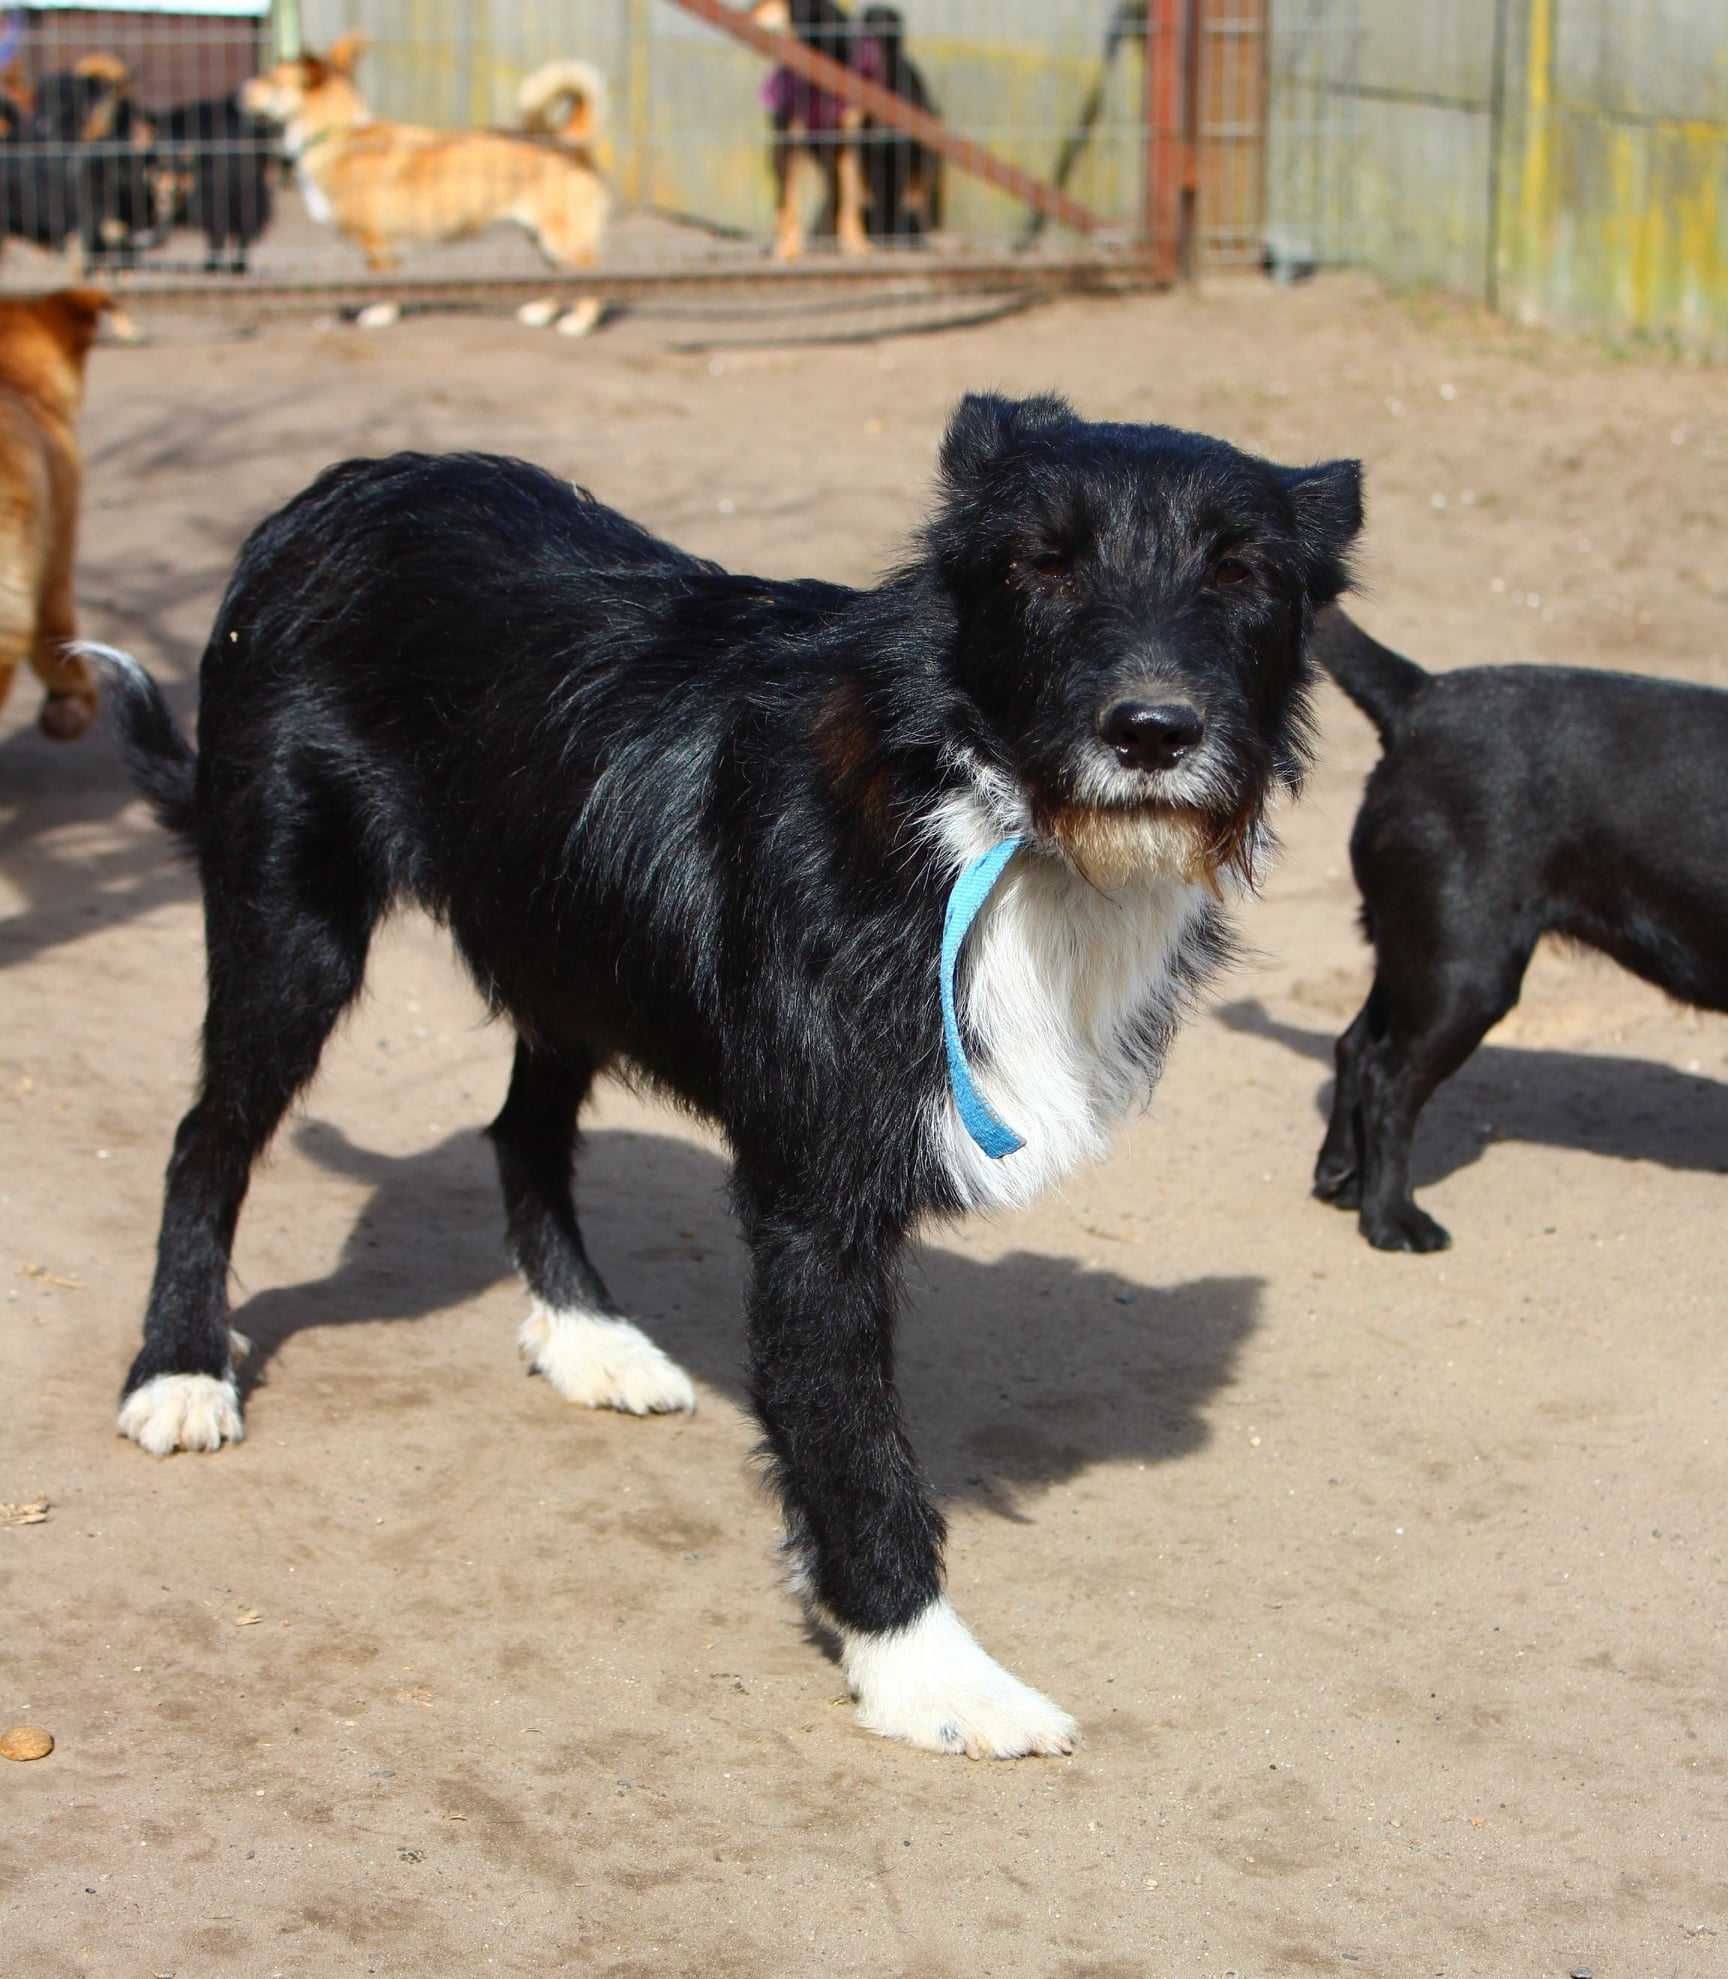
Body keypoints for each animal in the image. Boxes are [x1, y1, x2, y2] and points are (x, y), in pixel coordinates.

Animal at [97, 393, 1361, 1757]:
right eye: (1041, 562)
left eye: (1241, 570)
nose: (1152, 731)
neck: (979, 810)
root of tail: (339, 490)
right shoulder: (816, 1206)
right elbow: (855, 1446)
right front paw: (930, 1671)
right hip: (293, 935)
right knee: (207, 1136)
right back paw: (178, 1365)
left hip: (568, 954)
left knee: (520, 1131)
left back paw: (590, 1336)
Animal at [242, 34, 605, 288]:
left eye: (271, 80)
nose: (239, 92)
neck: (339, 133)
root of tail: (566, 139)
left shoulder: (378, 245)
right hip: (542, 237)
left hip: (563, 239)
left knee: (588, 279)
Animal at [1314, 605, 1718, 1250]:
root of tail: (1420, 698)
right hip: (1464, 974)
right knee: (1388, 1082)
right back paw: (1393, 1217)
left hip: (1415, 954)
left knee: (1355, 1047)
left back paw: (1344, 1180)